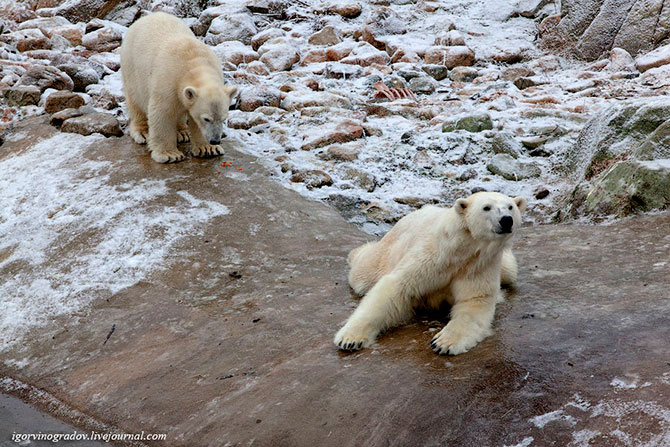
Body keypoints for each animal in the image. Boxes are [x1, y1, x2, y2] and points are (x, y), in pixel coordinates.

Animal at [119, 13, 238, 165]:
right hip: (133, 69)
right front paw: (170, 154)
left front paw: (208, 149)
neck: (193, 63)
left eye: (224, 118)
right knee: (136, 100)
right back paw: (144, 132)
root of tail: (148, 16)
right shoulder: (168, 81)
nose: (215, 140)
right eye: (206, 119)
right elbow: (163, 113)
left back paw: (182, 132)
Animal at [338, 192, 528, 356]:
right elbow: (397, 287)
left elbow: (475, 300)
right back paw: (356, 253)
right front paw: (349, 339)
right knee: (363, 274)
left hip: (505, 265)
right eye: (486, 207)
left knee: (510, 270)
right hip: (385, 253)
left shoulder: (479, 264)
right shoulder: (434, 255)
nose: (506, 220)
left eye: (510, 206)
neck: (463, 248)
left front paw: (443, 343)